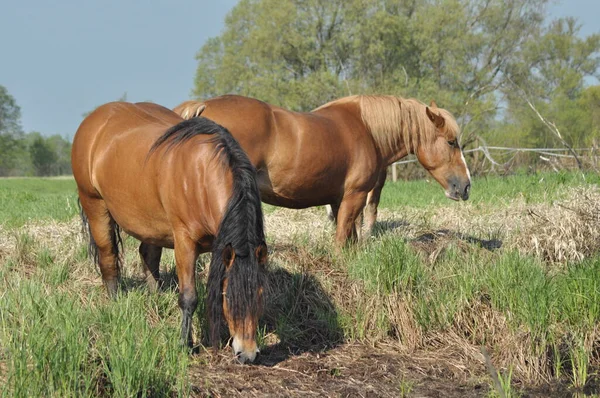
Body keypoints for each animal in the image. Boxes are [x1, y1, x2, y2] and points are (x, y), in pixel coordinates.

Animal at [71, 102, 266, 364]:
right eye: (228, 296)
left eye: (260, 295)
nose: (247, 354)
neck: (201, 174)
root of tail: (95, 119)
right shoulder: (185, 244)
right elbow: (189, 297)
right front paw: (186, 344)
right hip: (94, 205)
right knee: (108, 258)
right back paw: (114, 304)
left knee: (148, 256)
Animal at [175, 93, 474, 244]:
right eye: (451, 142)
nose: (466, 186)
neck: (367, 129)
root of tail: (202, 107)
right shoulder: (354, 196)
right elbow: (342, 240)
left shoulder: (339, 201)